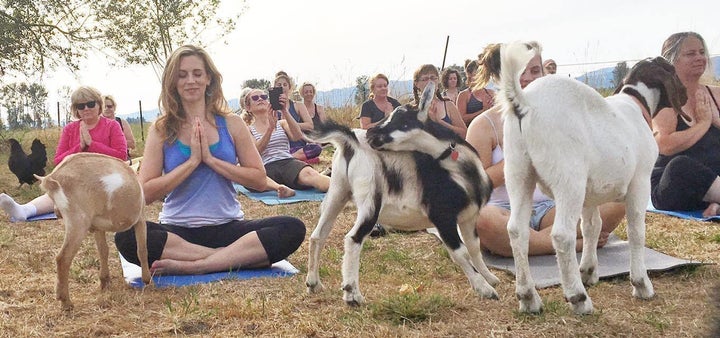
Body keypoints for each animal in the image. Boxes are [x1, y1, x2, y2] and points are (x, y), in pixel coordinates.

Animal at [35, 152, 151, 308]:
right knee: (63, 258)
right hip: (78, 221)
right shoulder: (140, 219)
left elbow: (103, 251)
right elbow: (142, 250)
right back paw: (66, 302)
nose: (56, 212)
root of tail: (54, 178)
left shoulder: (98, 228)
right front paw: (146, 280)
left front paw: (105, 282)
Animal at [304, 83, 500, 304]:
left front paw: (490, 278)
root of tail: (350, 142)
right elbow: (461, 253)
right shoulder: (442, 216)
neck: (460, 170)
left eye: (402, 120)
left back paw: (314, 283)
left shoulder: (469, 217)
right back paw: (352, 294)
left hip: (338, 191)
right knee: (353, 238)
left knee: (318, 235)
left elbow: (474, 247)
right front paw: (484, 289)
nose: (371, 133)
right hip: (370, 201)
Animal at [496, 41, 688, 314]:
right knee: (562, 235)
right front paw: (641, 284)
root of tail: (524, 103)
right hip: (569, 178)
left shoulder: (591, 193)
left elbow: (591, 227)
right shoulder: (640, 181)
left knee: (516, 231)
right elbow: (636, 231)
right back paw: (578, 298)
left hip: (518, 171)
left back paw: (528, 297)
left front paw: (588, 271)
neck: (635, 104)